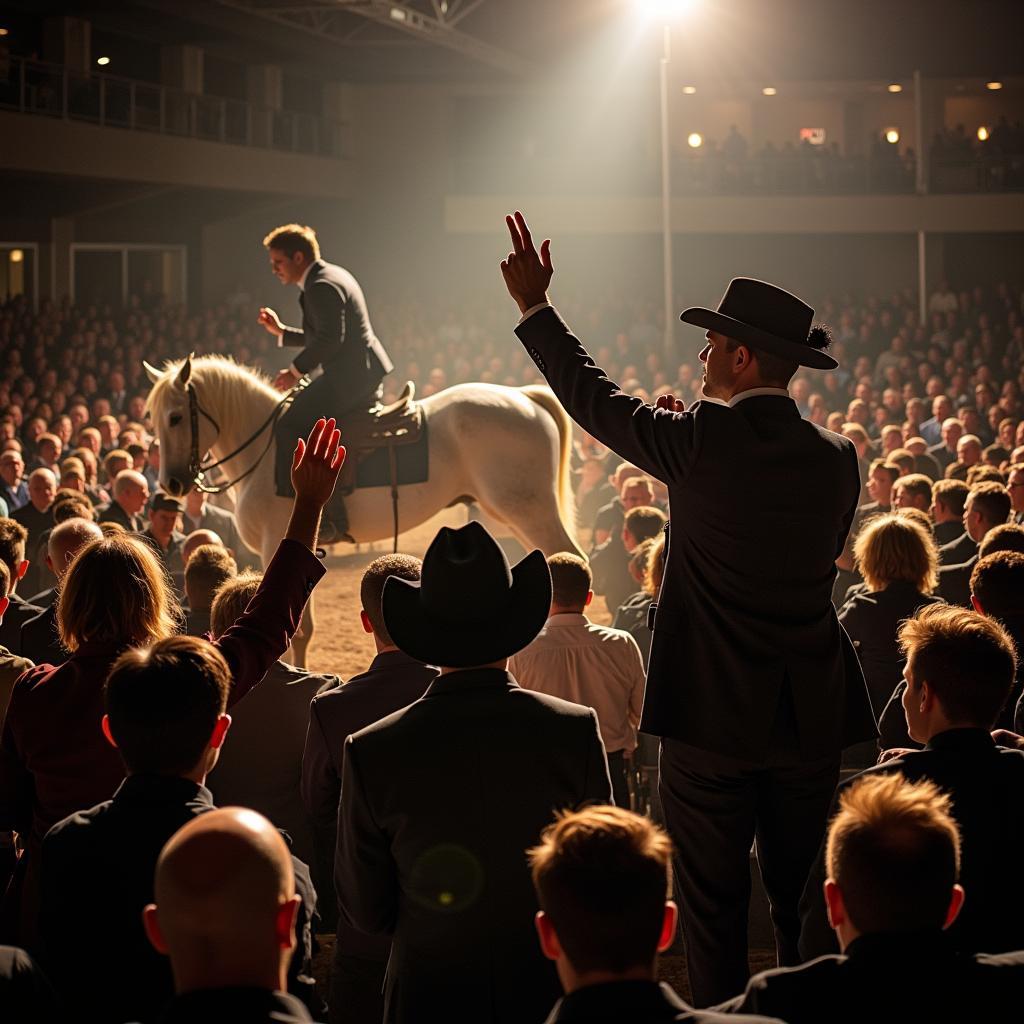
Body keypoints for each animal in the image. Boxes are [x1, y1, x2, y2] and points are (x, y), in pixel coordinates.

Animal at [144, 356, 581, 667]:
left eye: (176, 417)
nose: (172, 485)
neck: (265, 451)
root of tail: (524, 397)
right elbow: (304, 628)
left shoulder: (276, 543)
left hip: (530, 510)